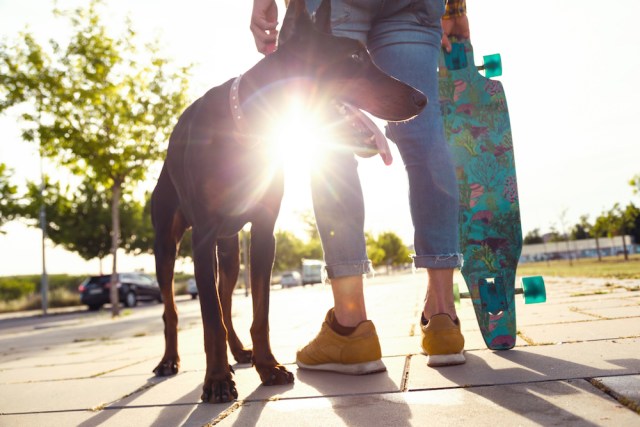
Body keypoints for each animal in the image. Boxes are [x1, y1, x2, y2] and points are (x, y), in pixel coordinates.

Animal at [151, 0, 424, 402]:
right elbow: (209, 319)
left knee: (226, 298)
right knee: (174, 307)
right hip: (167, 243)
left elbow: (259, 312)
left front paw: (267, 366)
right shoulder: (201, 236)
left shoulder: (264, 233)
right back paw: (170, 360)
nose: (422, 98)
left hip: (229, 247)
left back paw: (240, 352)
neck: (247, 127)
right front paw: (216, 380)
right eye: (354, 57)